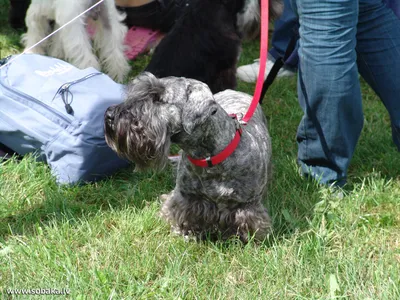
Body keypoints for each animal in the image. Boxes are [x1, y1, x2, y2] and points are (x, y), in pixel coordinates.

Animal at [103, 72, 274, 241]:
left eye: (158, 99)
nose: (109, 115)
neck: (210, 159)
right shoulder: (186, 198)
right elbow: (182, 214)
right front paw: (184, 233)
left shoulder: (247, 206)